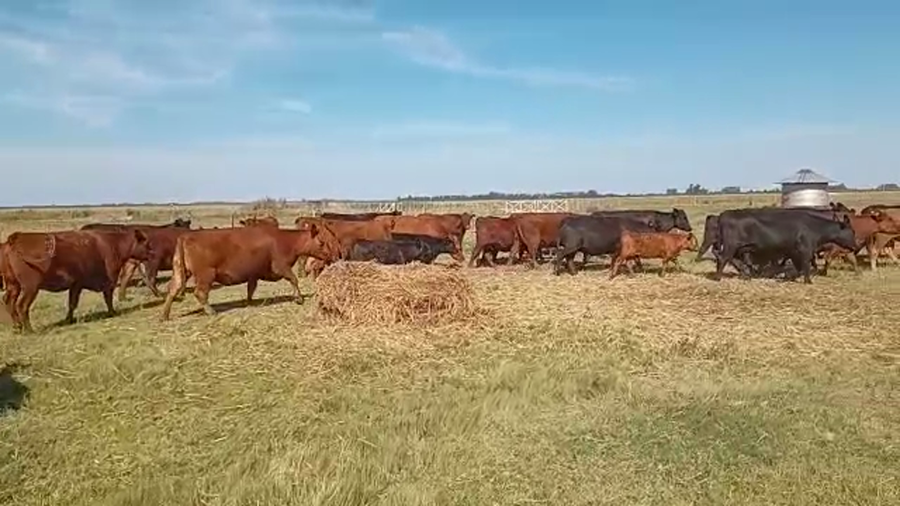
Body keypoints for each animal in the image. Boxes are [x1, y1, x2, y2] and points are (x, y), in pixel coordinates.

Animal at [1, 229, 151, 332]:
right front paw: (112, 313)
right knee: (21, 306)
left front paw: (69, 319)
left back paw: (17, 327)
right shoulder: (108, 282)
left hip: (13, 285)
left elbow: (72, 304)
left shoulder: (76, 285)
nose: (153, 253)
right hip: (30, 288)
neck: (114, 245)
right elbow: (107, 298)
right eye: (146, 243)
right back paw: (29, 330)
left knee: (9, 301)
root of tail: (15, 239)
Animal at [160, 224, 334, 320]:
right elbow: (294, 279)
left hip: (180, 271)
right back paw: (211, 311)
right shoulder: (281, 266)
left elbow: (251, 288)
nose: (330, 255)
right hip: (205, 275)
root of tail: (186, 236)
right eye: (321, 242)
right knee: (200, 293)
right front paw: (298, 298)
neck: (285, 240)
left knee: (173, 289)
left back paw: (165, 316)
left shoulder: (253, 274)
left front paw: (249, 302)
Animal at [713, 209, 857, 283]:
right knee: (723, 258)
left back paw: (745, 276)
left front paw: (787, 277)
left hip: (740, 248)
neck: (814, 228)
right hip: (731, 246)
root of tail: (724, 214)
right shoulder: (805, 250)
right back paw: (718, 278)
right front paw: (807, 281)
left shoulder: (793, 252)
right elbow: (805, 267)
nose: (855, 247)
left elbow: (799, 269)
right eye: (852, 232)